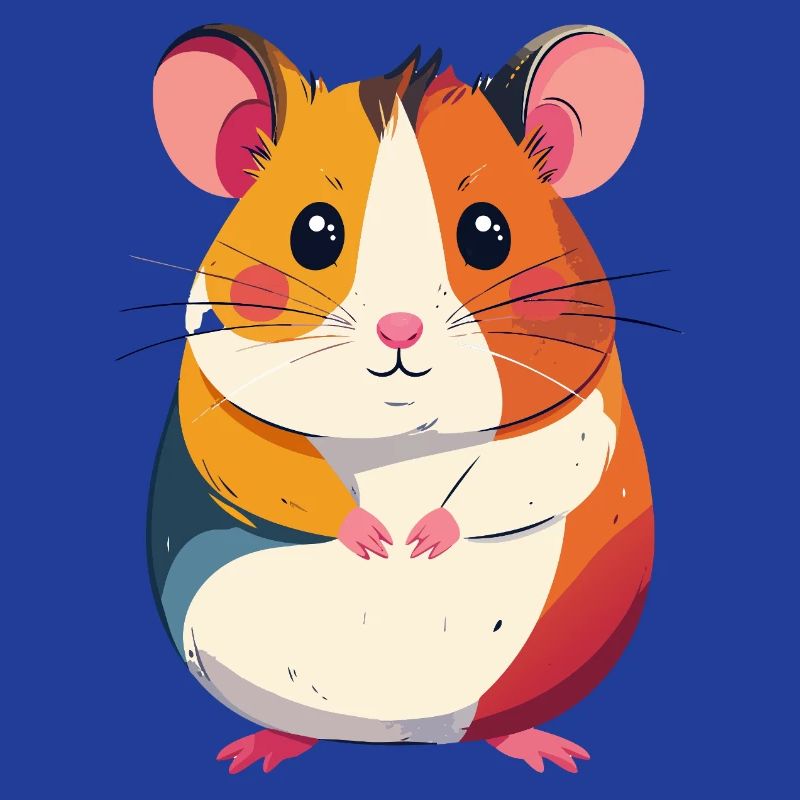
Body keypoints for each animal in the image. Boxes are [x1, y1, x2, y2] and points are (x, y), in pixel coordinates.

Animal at [147, 22, 654, 775]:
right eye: (314, 232)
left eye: (487, 232)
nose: (400, 329)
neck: (402, 438)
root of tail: (401, 734)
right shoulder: (218, 404)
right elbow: (263, 467)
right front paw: (376, 540)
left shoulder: (580, 414)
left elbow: (530, 471)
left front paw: (421, 540)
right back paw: (257, 751)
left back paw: (546, 750)